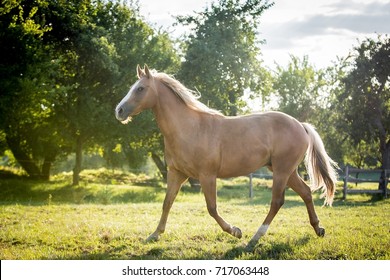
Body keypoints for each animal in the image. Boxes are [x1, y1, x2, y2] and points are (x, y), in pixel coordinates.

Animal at [114, 65, 336, 249]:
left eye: (140, 89)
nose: (119, 111)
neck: (189, 128)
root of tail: (301, 125)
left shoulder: (207, 176)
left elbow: (212, 208)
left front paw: (235, 231)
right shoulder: (176, 173)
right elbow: (167, 202)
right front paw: (154, 235)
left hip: (282, 171)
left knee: (277, 201)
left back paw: (254, 239)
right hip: (286, 171)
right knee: (306, 193)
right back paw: (318, 229)